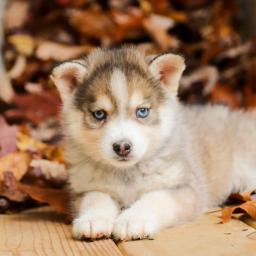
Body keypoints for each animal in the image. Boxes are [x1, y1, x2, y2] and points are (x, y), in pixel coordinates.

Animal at [51, 47, 256, 241]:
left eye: (142, 111)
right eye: (99, 114)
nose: (122, 147)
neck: (126, 174)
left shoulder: (187, 189)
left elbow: (156, 198)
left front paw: (133, 219)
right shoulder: (85, 189)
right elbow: (96, 198)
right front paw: (93, 219)